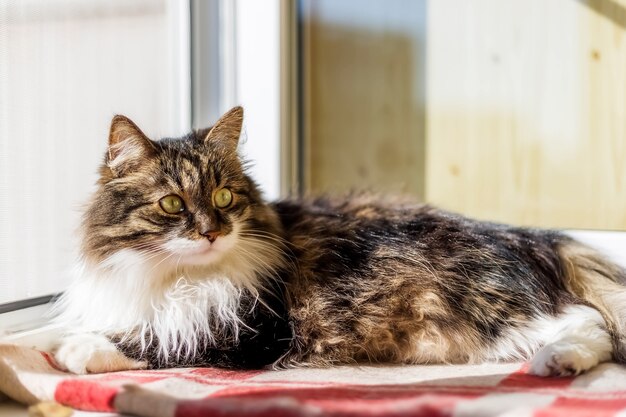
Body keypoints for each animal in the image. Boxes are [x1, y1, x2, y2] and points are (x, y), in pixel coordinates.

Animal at [50, 105, 624, 376]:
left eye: (224, 197)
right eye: (172, 204)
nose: (213, 232)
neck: (176, 279)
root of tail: (541, 240)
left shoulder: (256, 332)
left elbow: (163, 343)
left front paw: (78, 350)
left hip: (479, 312)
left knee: (588, 322)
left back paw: (557, 363)